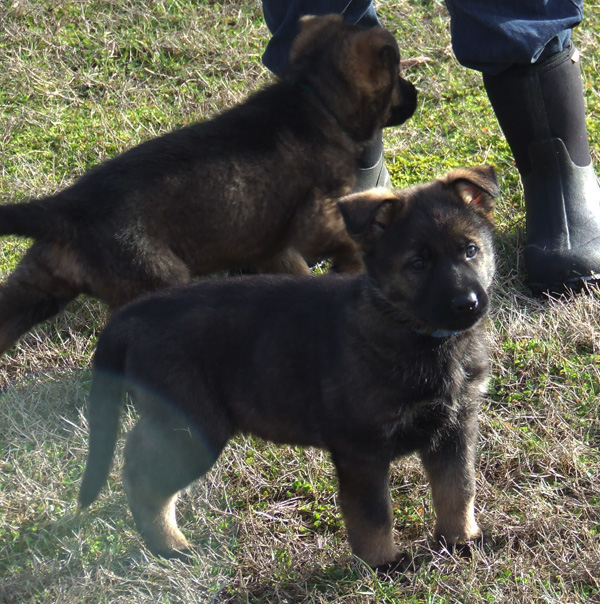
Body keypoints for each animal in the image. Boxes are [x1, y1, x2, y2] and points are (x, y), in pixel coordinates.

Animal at [0, 14, 418, 356]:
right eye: (397, 75)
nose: (417, 95)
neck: (316, 98)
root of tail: (69, 206)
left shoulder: (271, 245)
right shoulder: (315, 217)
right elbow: (347, 241)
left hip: (34, 285)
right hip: (157, 278)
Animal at [81, 166, 502, 572]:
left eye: (470, 250)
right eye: (417, 264)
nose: (468, 303)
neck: (418, 334)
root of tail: (133, 314)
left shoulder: (455, 427)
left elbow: (457, 489)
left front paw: (460, 541)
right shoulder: (361, 449)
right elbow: (373, 514)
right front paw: (382, 565)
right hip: (193, 429)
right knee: (141, 476)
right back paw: (169, 546)